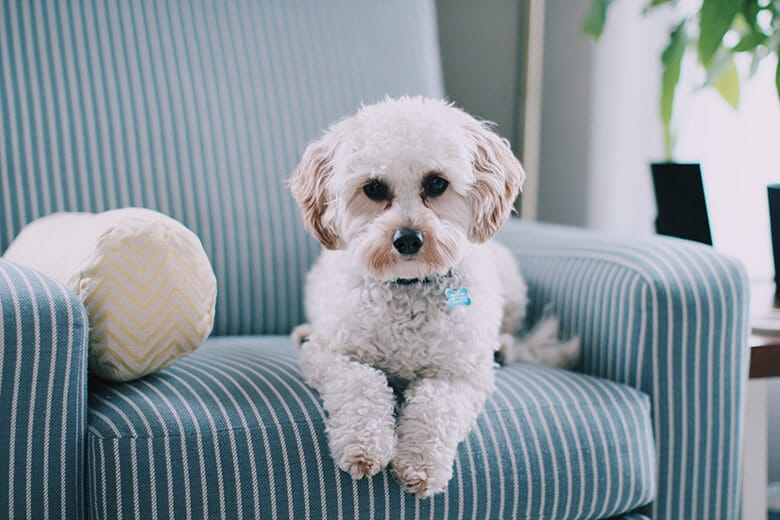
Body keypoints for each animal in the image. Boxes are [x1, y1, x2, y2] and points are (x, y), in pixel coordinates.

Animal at [288, 95, 580, 498]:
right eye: (374, 188)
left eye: (437, 183)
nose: (408, 238)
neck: (409, 285)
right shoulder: (332, 355)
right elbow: (362, 384)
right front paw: (364, 445)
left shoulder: (459, 374)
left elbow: (434, 408)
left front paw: (420, 463)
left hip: (511, 288)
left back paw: (503, 347)